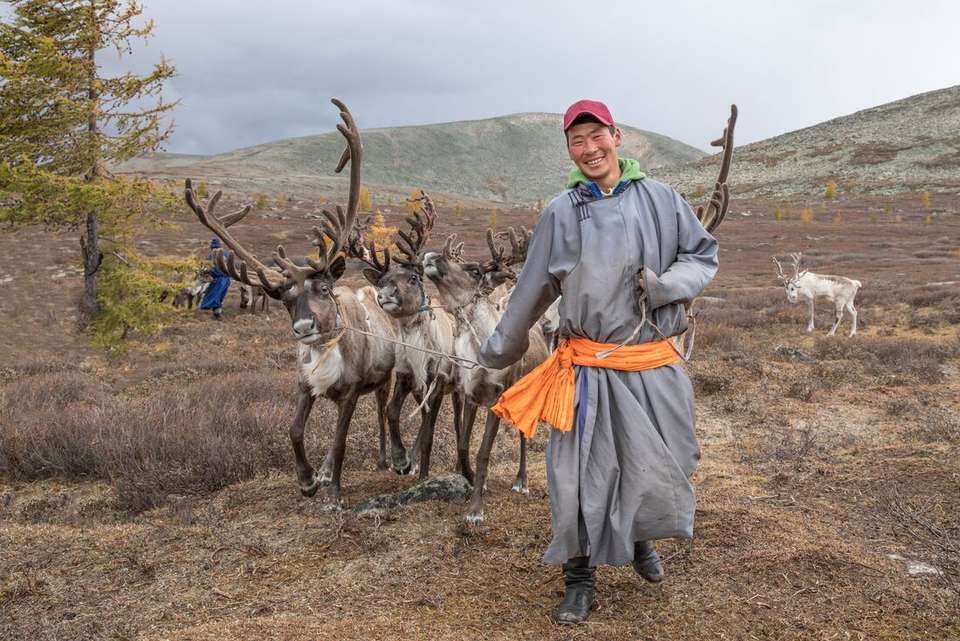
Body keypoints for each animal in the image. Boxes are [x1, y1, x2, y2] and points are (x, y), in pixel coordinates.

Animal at [183, 98, 399, 504]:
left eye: (325, 289)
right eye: (285, 300)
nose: (302, 327)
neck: (325, 351)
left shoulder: (350, 391)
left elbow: (340, 441)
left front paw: (333, 491)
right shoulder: (306, 386)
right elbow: (294, 431)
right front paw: (308, 478)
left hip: (385, 377)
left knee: (381, 410)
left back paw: (387, 457)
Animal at [357, 193, 466, 480]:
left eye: (415, 277)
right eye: (381, 281)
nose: (385, 296)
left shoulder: (439, 381)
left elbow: (429, 432)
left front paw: (424, 474)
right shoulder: (407, 376)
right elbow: (392, 411)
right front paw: (400, 458)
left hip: (457, 387)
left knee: (457, 421)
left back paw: (456, 467)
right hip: (421, 388)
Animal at [423, 228, 550, 523]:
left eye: (475, 271)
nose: (430, 256)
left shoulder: (497, 397)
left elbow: (483, 452)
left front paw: (475, 510)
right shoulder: (470, 394)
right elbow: (463, 444)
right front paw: (471, 480)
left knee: (524, 435)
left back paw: (521, 481)